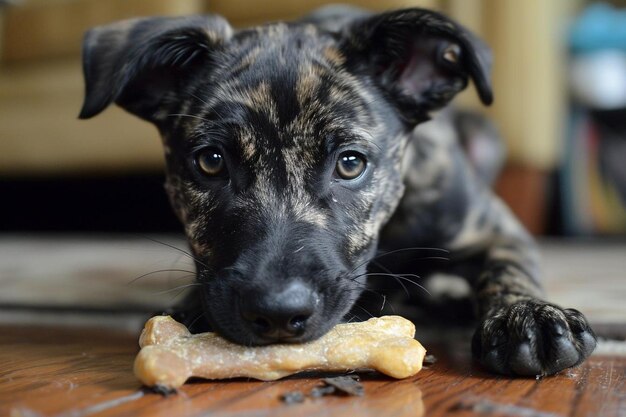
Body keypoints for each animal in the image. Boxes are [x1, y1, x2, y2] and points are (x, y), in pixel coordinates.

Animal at [79, 4, 596, 376]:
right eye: (210, 162)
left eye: (350, 164)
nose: (277, 314)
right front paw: (192, 308)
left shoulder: (494, 228)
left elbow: (508, 269)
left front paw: (528, 318)